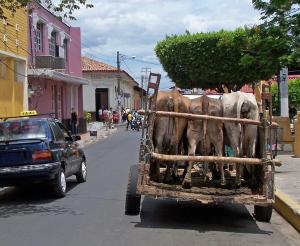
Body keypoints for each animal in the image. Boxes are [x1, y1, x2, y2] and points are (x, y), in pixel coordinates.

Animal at [125, 73, 282, 223]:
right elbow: (211, 156)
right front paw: (209, 175)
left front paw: (206, 174)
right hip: (237, 133)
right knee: (244, 154)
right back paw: (241, 181)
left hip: (193, 134)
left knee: (175, 152)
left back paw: (174, 177)